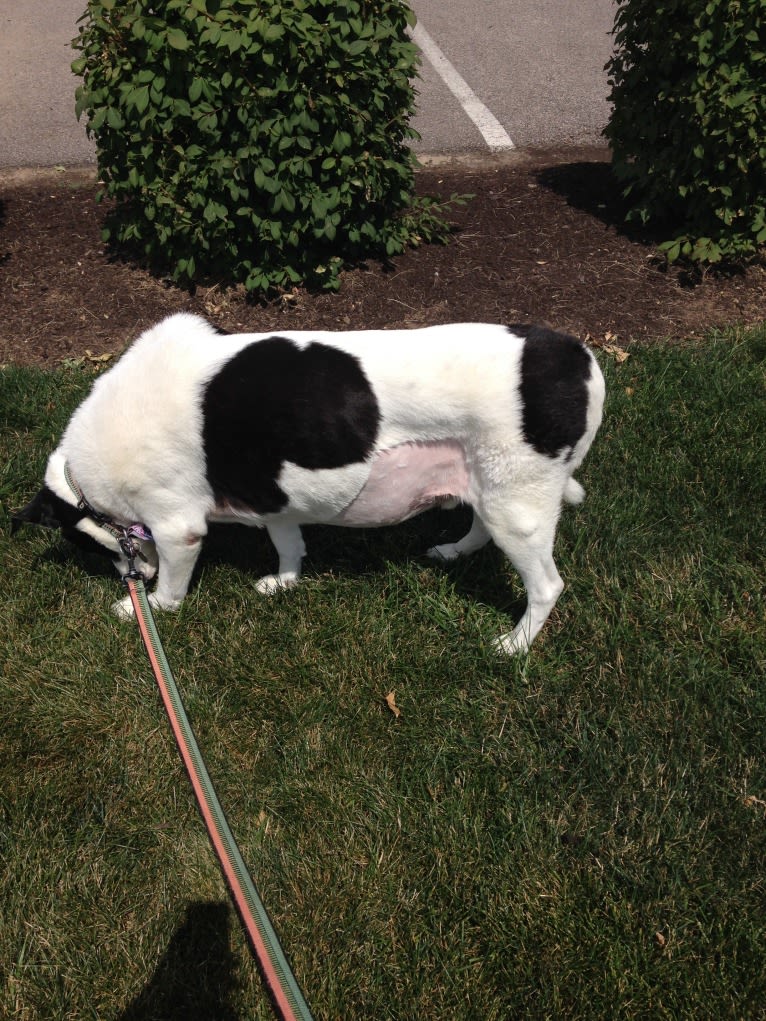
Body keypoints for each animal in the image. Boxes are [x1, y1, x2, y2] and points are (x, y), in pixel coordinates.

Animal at [9, 312, 604, 653]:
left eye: (92, 548)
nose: (134, 576)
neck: (89, 475)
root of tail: (582, 359)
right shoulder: (274, 499)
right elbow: (288, 542)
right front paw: (286, 581)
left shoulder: (179, 531)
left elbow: (173, 591)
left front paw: (145, 608)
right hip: (489, 483)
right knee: (478, 521)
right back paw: (455, 551)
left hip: (517, 505)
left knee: (546, 586)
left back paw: (516, 644)